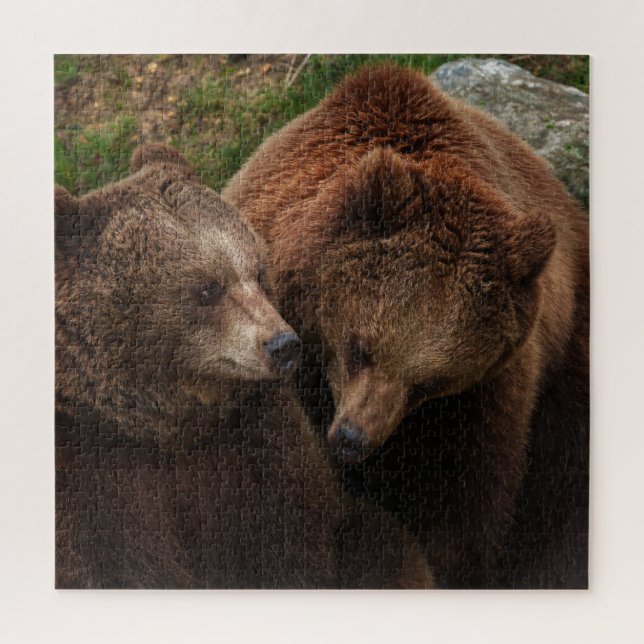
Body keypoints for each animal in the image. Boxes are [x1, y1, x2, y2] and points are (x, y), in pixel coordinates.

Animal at [55, 143, 433, 589]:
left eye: (258, 271)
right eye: (207, 288)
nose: (283, 345)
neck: (169, 427)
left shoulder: (260, 447)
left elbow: (296, 543)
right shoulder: (93, 479)